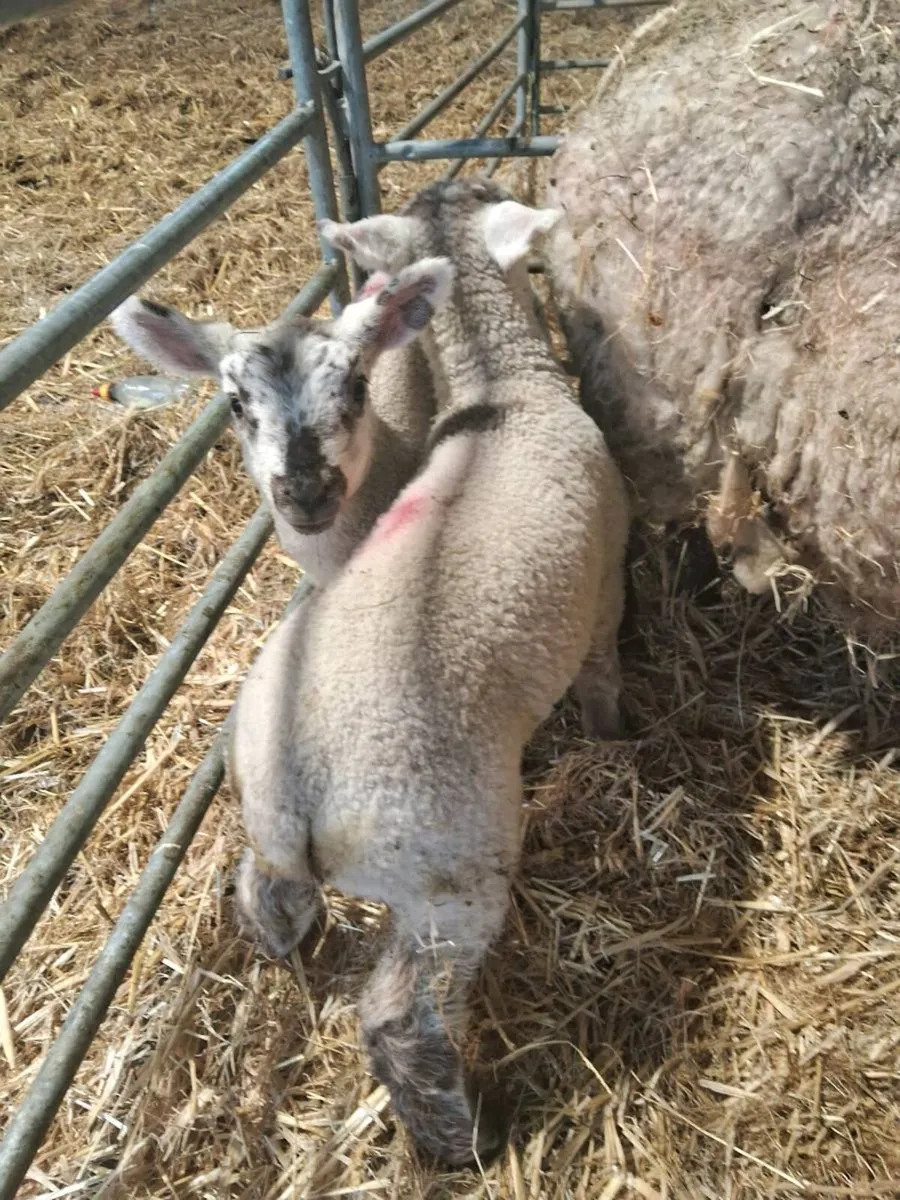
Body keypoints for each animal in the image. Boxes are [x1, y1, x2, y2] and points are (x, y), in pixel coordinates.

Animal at [231, 179, 629, 1165]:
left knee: (266, 895)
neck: (499, 385)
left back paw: (285, 949)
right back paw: (464, 1134)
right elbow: (603, 670)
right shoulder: (609, 576)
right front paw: (617, 737)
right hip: (448, 870)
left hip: (269, 825)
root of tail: (299, 792)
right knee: (398, 1018)